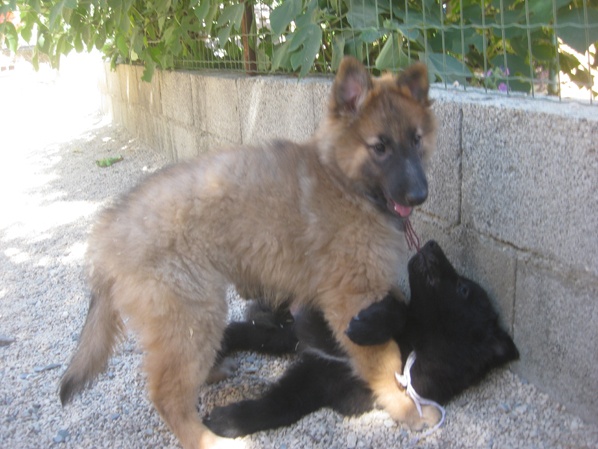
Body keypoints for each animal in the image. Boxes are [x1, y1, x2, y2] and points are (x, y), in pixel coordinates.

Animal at [59, 56, 437, 449]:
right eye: (380, 147)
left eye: (416, 141)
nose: (419, 195)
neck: (344, 182)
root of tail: (107, 236)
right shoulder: (353, 297)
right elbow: (386, 361)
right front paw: (406, 408)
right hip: (192, 314)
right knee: (167, 393)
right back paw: (205, 438)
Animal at [205, 240, 520, 437]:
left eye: (463, 289)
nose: (431, 243)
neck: (413, 343)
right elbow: (395, 309)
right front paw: (367, 327)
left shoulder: (318, 382)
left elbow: (276, 409)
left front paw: (226, 421)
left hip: (284, 338)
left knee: (243, 331)